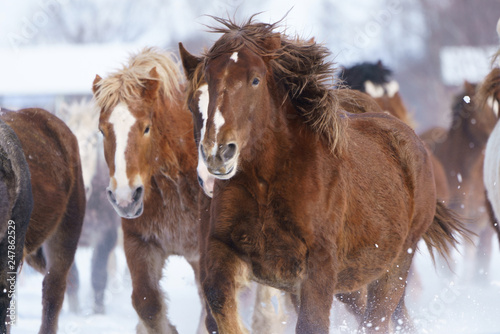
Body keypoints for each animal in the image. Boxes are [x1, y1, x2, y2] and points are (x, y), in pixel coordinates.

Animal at [56, 100, 120, 314]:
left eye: (93, 141)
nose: (80, 187)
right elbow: (71, 277)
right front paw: (74, 312)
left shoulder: (107, 234)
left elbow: (98, 274)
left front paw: (98, 312)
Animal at [181, 17, 468, 332]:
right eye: (200, 91)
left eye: (255, 80)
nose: (218, 153)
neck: (268, 185)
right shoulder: (226, 250)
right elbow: (218, 305)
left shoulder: (318, 267)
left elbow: (312, 324)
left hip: (394, 266)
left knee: (377, 319)